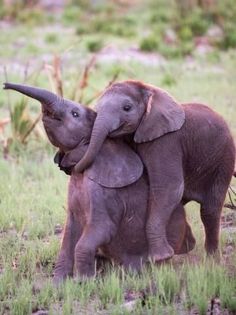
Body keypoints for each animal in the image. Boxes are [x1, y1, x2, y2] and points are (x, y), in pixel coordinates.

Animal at [3, 82, 196, 282]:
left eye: (75, 114)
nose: (5, 85)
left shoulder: (104, 195)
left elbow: (100, 230)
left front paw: (82, 282)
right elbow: (68, 235)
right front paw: (59, 283)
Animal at [74, 80, 236, 262]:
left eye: (127, 108)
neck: (150, 90)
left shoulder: (165, 142)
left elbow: (168, 188)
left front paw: (159, 258)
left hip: (224, 158)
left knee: (209, 209)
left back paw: (211, 259)